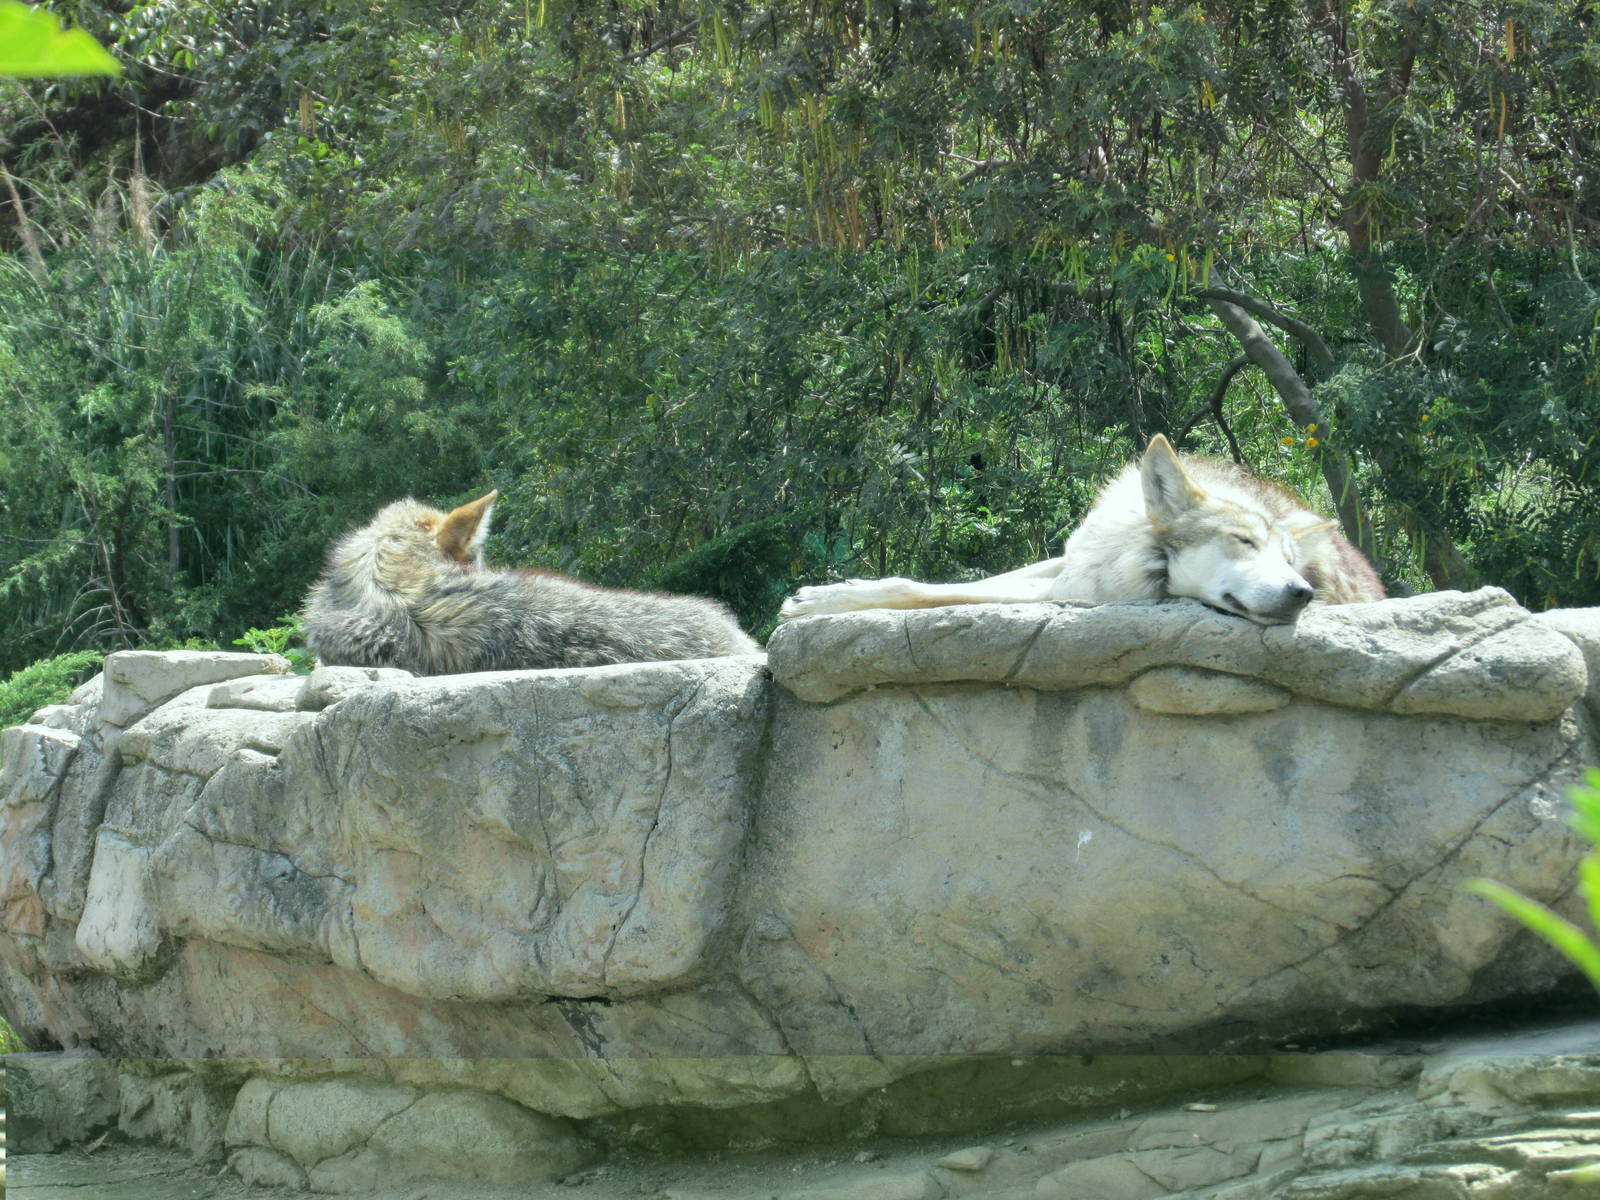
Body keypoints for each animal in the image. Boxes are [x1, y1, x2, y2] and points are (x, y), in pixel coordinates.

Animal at [780, 435, 1384, 626]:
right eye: (1244, 542)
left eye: (1291, 563)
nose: (1302, 594)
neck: (1132, 545)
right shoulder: (1070, 566)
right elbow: (932, 584)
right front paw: (824, 597)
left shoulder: (1078, 590)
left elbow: (931, 593)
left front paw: (816, 602)